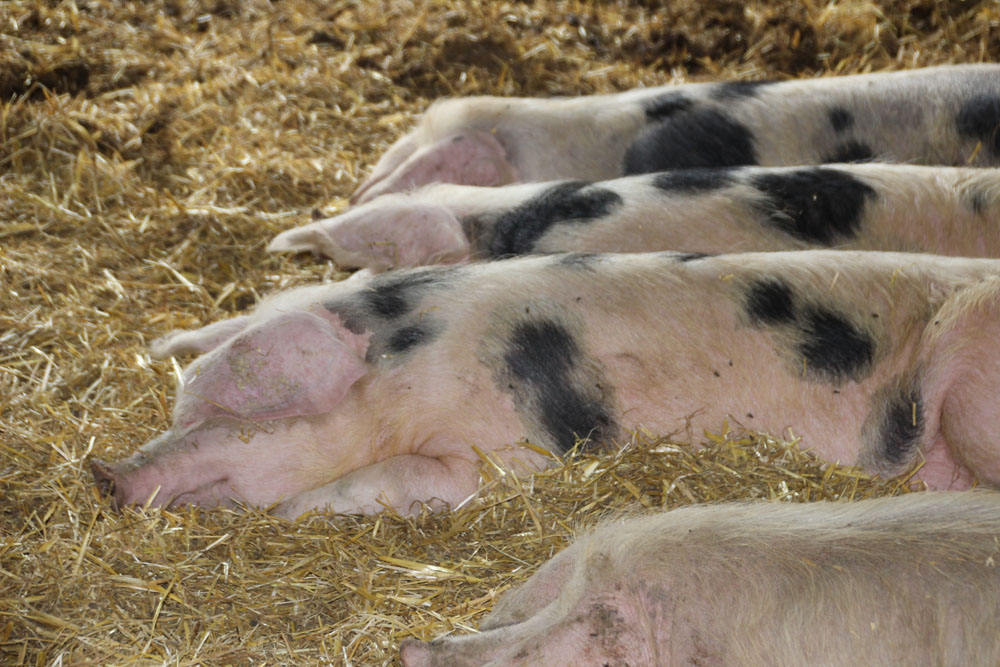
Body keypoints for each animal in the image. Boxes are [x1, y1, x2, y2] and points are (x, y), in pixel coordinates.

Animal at [92, 250, 1000, 517]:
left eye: (225, 410)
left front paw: (287, 512)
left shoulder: (507, 449)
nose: (103, 470)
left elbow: (400, 478)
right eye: (178, 404)